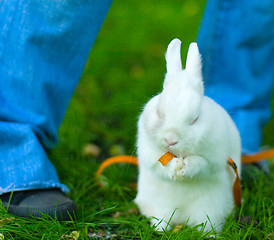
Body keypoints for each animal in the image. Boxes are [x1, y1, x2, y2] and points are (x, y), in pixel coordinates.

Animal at [134, 39, 241, 232]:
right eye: (159, 113)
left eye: (195, 119)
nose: (170, 139)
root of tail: (181, 218)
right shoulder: (149, 151)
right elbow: (158, 163)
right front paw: (174, 168)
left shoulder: (215, 158)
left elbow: (202, 163)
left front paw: (184, 169)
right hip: (160, 207)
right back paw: (160, 229)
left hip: (209, 211)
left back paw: (209, 234)